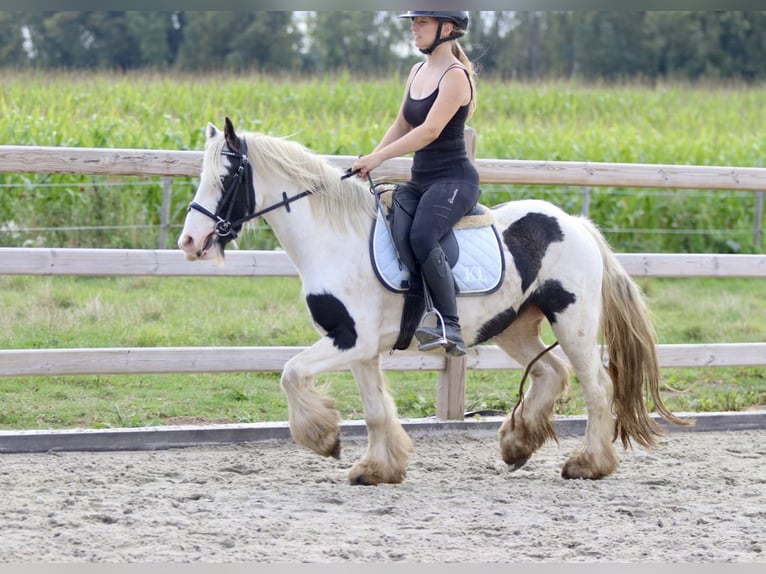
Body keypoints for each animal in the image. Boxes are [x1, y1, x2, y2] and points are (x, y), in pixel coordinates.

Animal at [177, 119, 692, 488]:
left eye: (226, 176)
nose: (190, 241)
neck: (334, 241)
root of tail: (576, 223)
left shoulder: (348, 340)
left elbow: (290, 373)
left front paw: (325, 440)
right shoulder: (360, 349)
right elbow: (374, 409)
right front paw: (377, 470)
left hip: (573, 322)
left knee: (596, 387)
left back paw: (588, 464)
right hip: (514, 326)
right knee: (551, 373)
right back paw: (517, 445)